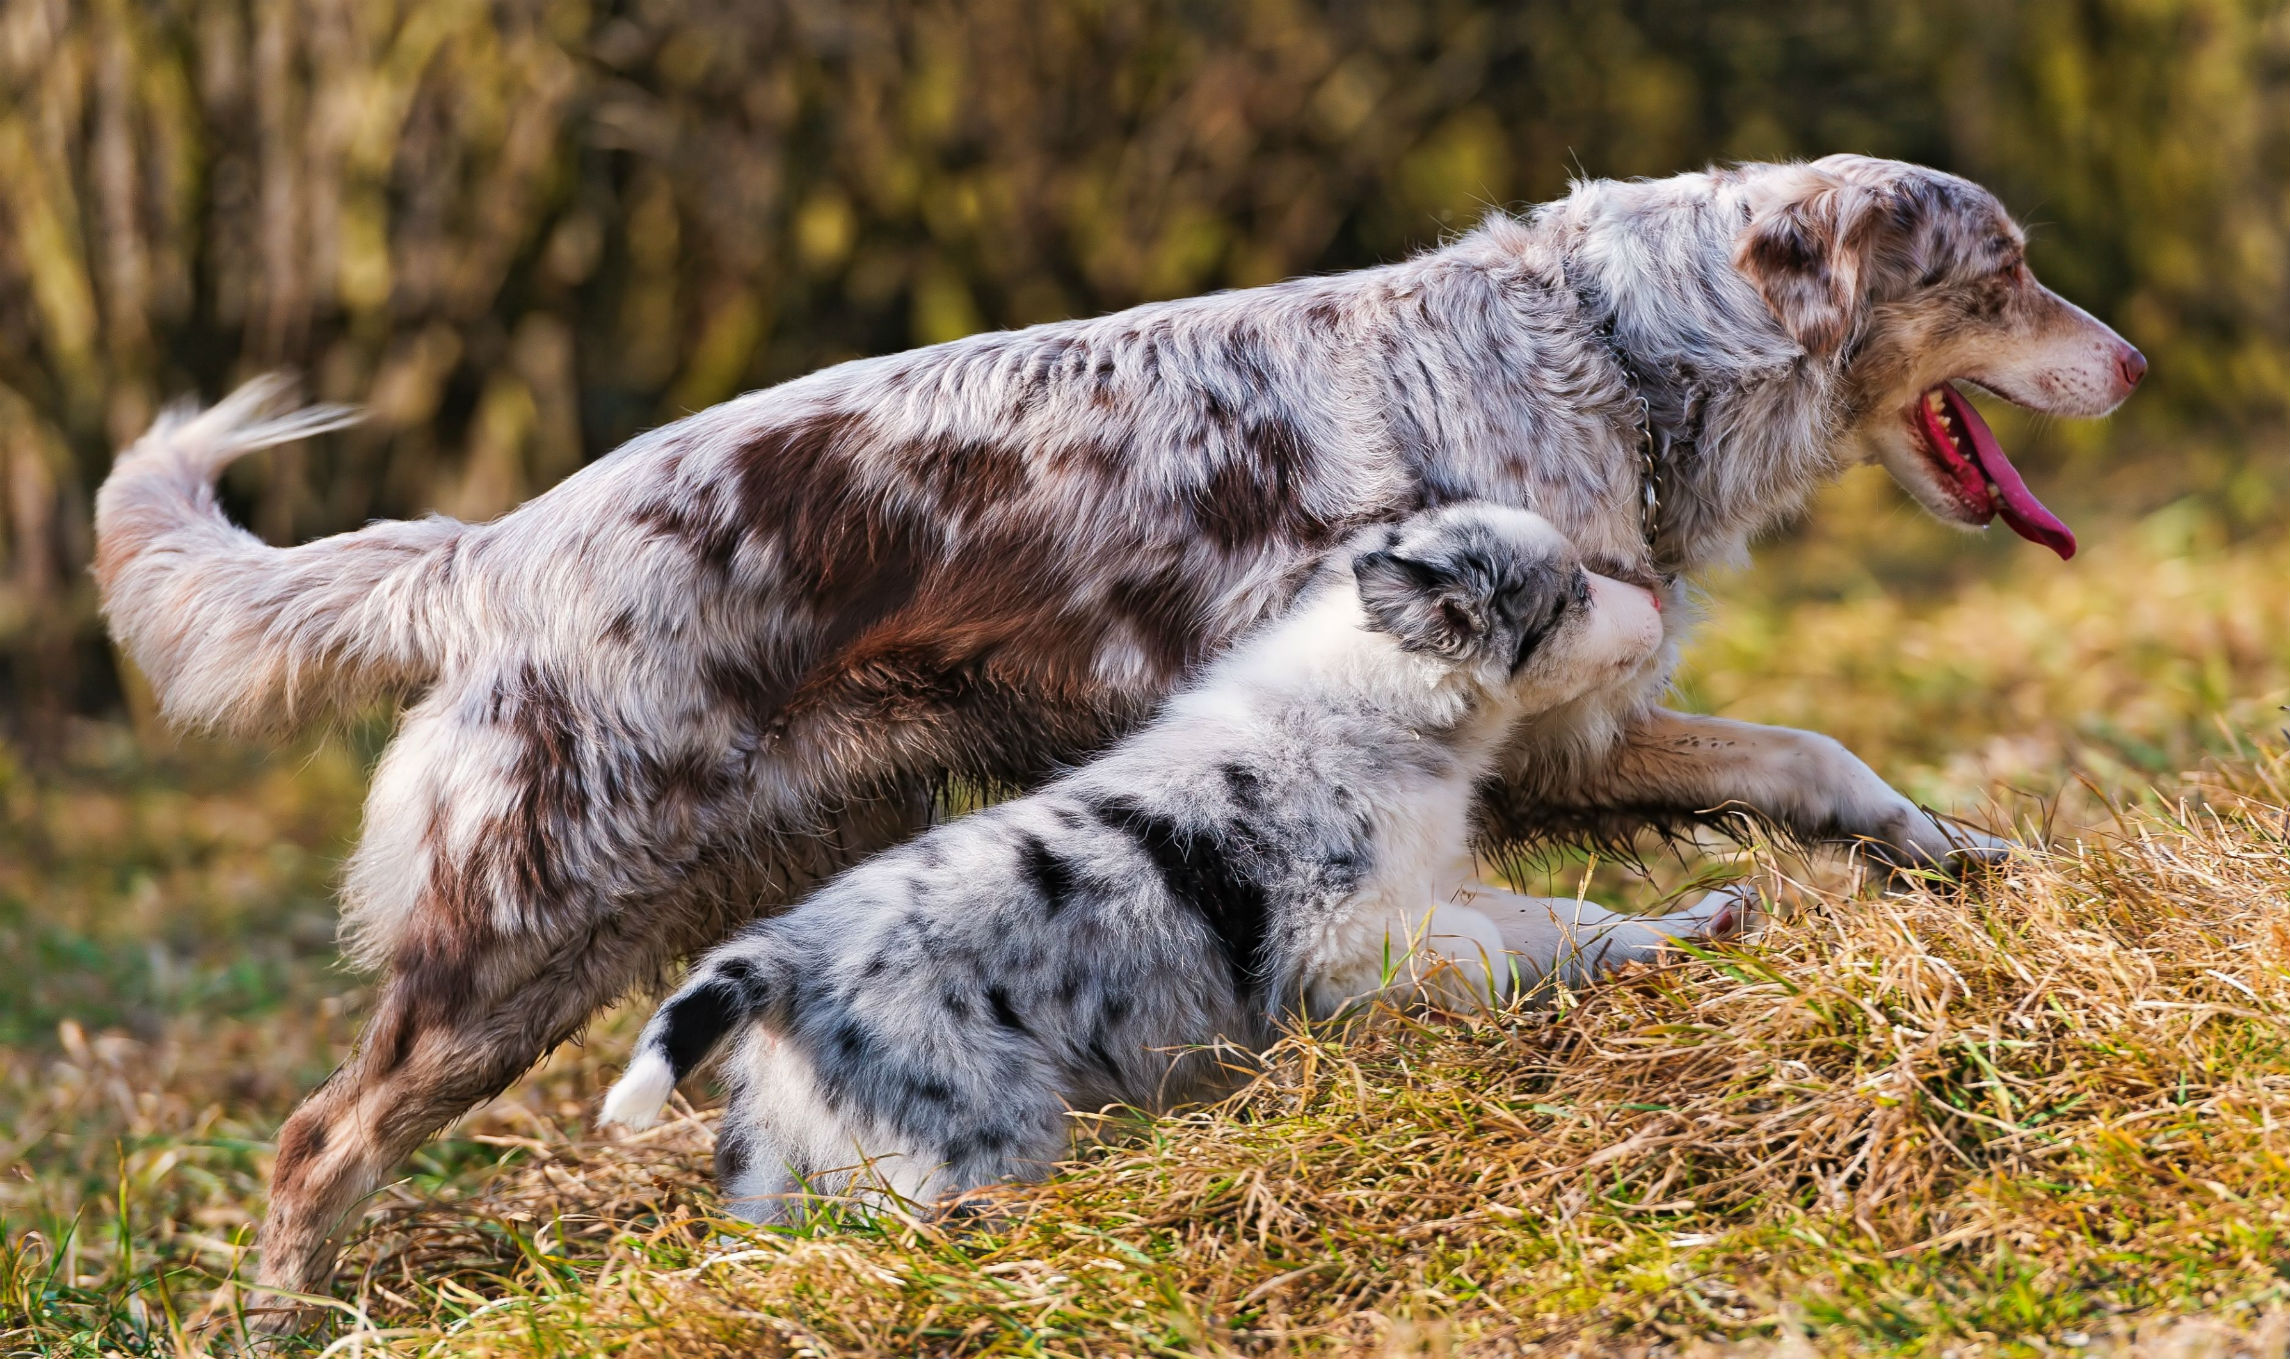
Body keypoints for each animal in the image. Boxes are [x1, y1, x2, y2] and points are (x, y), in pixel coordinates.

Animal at [599, 501, 1740, 1219]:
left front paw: (1699, 924)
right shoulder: (1341, 935)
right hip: (966, 1141)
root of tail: (778, 956)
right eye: (1572, 597)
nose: (1653, 600)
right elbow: (1473, 953)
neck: (1378, 701)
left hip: (779, 1163)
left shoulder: (1436, 882)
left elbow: (1567, 925)